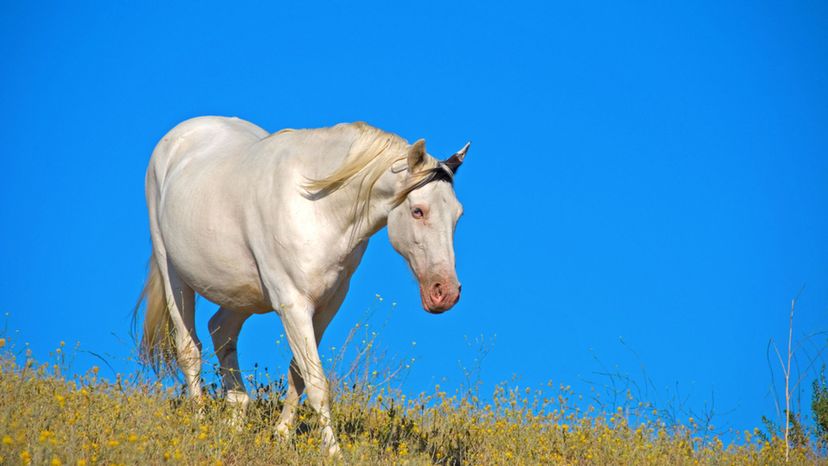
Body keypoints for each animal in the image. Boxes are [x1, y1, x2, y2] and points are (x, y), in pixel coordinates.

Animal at [137, 116, 472, 456]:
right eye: (418, 210)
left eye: (458, 215)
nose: (445, 292)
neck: (319, 208)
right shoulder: (293, 304)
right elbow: (317, 383)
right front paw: (334, 453)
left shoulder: (326, 305)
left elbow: (298, 373)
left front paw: (281, 437)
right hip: (173, 273)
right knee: (189, 349)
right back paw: (200, 424)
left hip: (242, 294)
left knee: (222, 331)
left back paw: (235, 419)